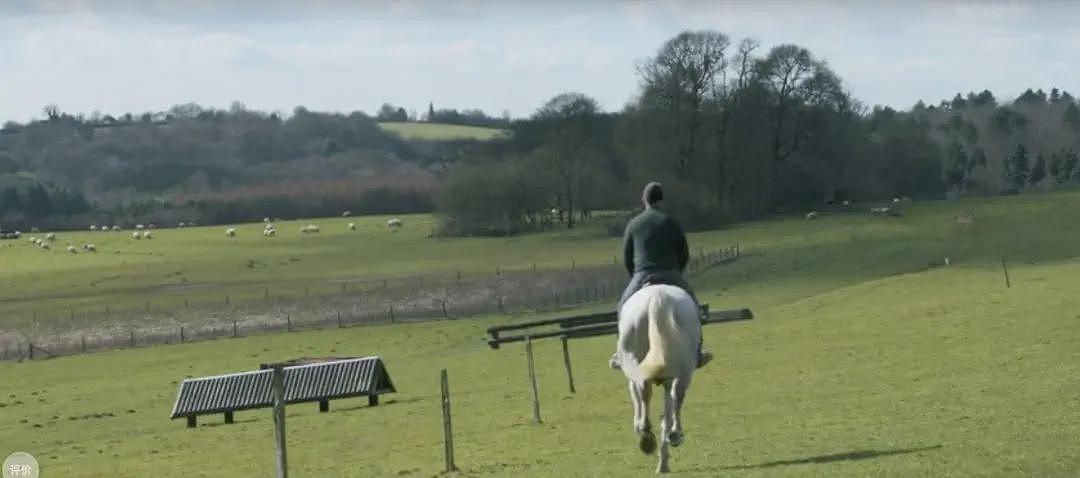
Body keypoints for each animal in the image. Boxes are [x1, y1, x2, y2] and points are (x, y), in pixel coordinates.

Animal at [617, 284, 699, 474]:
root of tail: (656, 294)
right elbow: (667, 414)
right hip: (685, 370)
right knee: (676, 396)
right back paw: (674, 434)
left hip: (634, 361)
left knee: (645, 390)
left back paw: (646, 433)